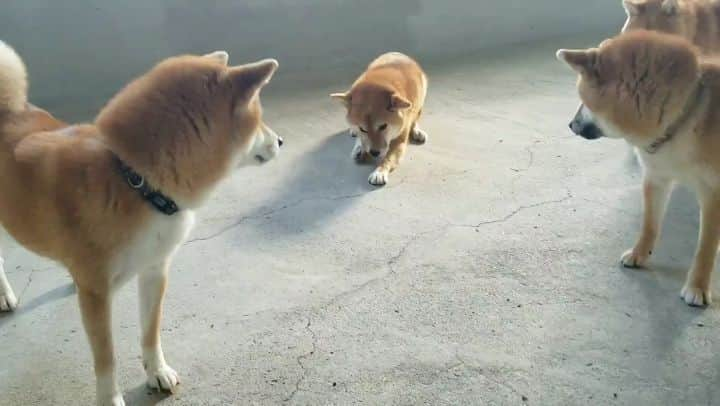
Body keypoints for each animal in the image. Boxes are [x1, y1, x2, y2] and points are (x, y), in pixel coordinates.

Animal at [0, 42, 282, 404]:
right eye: (258, 118)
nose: (280, 141)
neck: (135, 181)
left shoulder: (153, 271)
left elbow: (151, 332)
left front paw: (157, 372)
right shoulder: (97, 296)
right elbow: (107, 358)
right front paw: (109, 398)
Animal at [332, 52, 428, 187]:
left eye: (383, 126)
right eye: (363, 129)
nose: (374, 153)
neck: (379, 82)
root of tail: (399, 53)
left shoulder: (399, 139)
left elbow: (388, 158)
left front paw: (380, 171)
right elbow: (362, 139)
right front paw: (360, 146)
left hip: (420, 101)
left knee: (415, 119)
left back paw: (417, 131)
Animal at [556, 29, 720, 308]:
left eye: (583, 101)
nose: (570, 124)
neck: (685, 118)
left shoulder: (713, 193)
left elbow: (705, 247)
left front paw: (697, 285)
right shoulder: (656, 178)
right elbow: (650, 224)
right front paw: (639, 254)